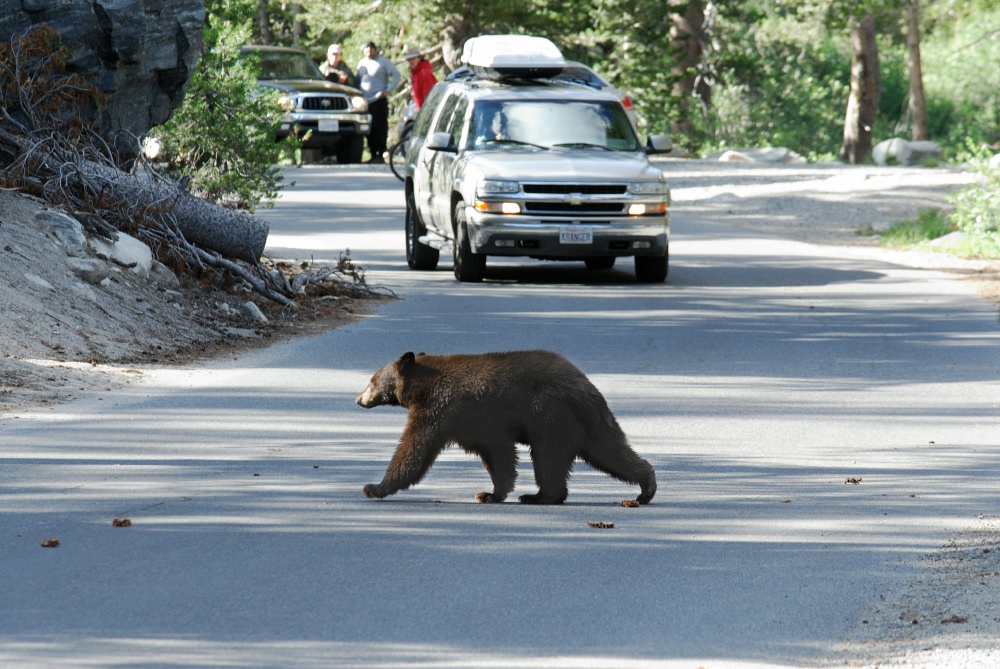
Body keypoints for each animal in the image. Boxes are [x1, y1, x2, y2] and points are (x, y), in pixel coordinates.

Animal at [354, 352, 656, 504]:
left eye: (372, 380)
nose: (358, 399)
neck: (424, 386)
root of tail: (588, 389)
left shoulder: (445, 410)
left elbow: (414, 449)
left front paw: (374, 487)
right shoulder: (474, 422)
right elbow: (495, 454)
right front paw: (492, 492)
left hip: (552, 417)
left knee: (549, 458)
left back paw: (540, 496)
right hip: (588, 424)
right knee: (610, 451)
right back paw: (646, 486)